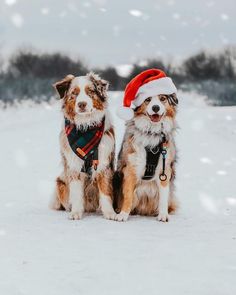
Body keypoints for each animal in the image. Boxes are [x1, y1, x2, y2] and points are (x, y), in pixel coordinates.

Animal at [50, 73, 116, 221]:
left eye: (90, 91)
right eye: (74, 93)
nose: (81, 104)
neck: (85, 127)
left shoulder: (103, 163)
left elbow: (105, 192)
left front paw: (110, 213)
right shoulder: (74, 165)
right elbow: (76, 192)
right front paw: (76, 212)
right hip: (60, 182)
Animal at [115, 69, 179, 222]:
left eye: (162, 98)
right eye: (147, 100)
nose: (155, 107)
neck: (152, 133)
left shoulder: (164, 170)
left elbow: (163, 196)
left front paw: (163, 215)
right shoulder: (130, 168)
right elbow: (128, 196)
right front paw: (123, 214)